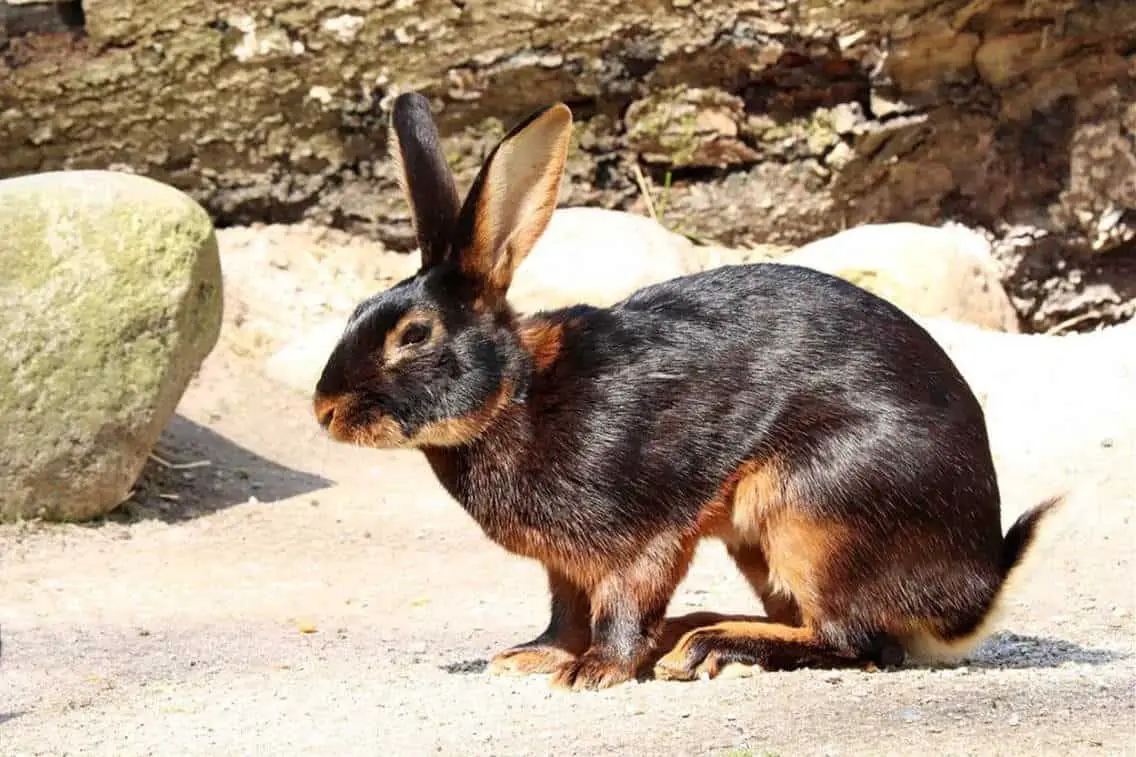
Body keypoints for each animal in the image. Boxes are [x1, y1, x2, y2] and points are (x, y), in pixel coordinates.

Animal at [308, 92, 1054, 691]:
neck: (516, 395)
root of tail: (974, 591)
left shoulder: (641, 539)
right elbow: (565, 614)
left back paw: (705, 646)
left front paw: (593, 672)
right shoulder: (564, 568)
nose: (325, 410)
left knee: (853, 641)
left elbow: (620, 606)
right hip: (760, 540)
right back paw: (692, 635)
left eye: (414, 334)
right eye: (357, 312)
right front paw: (532, 656)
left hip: (810, 513)